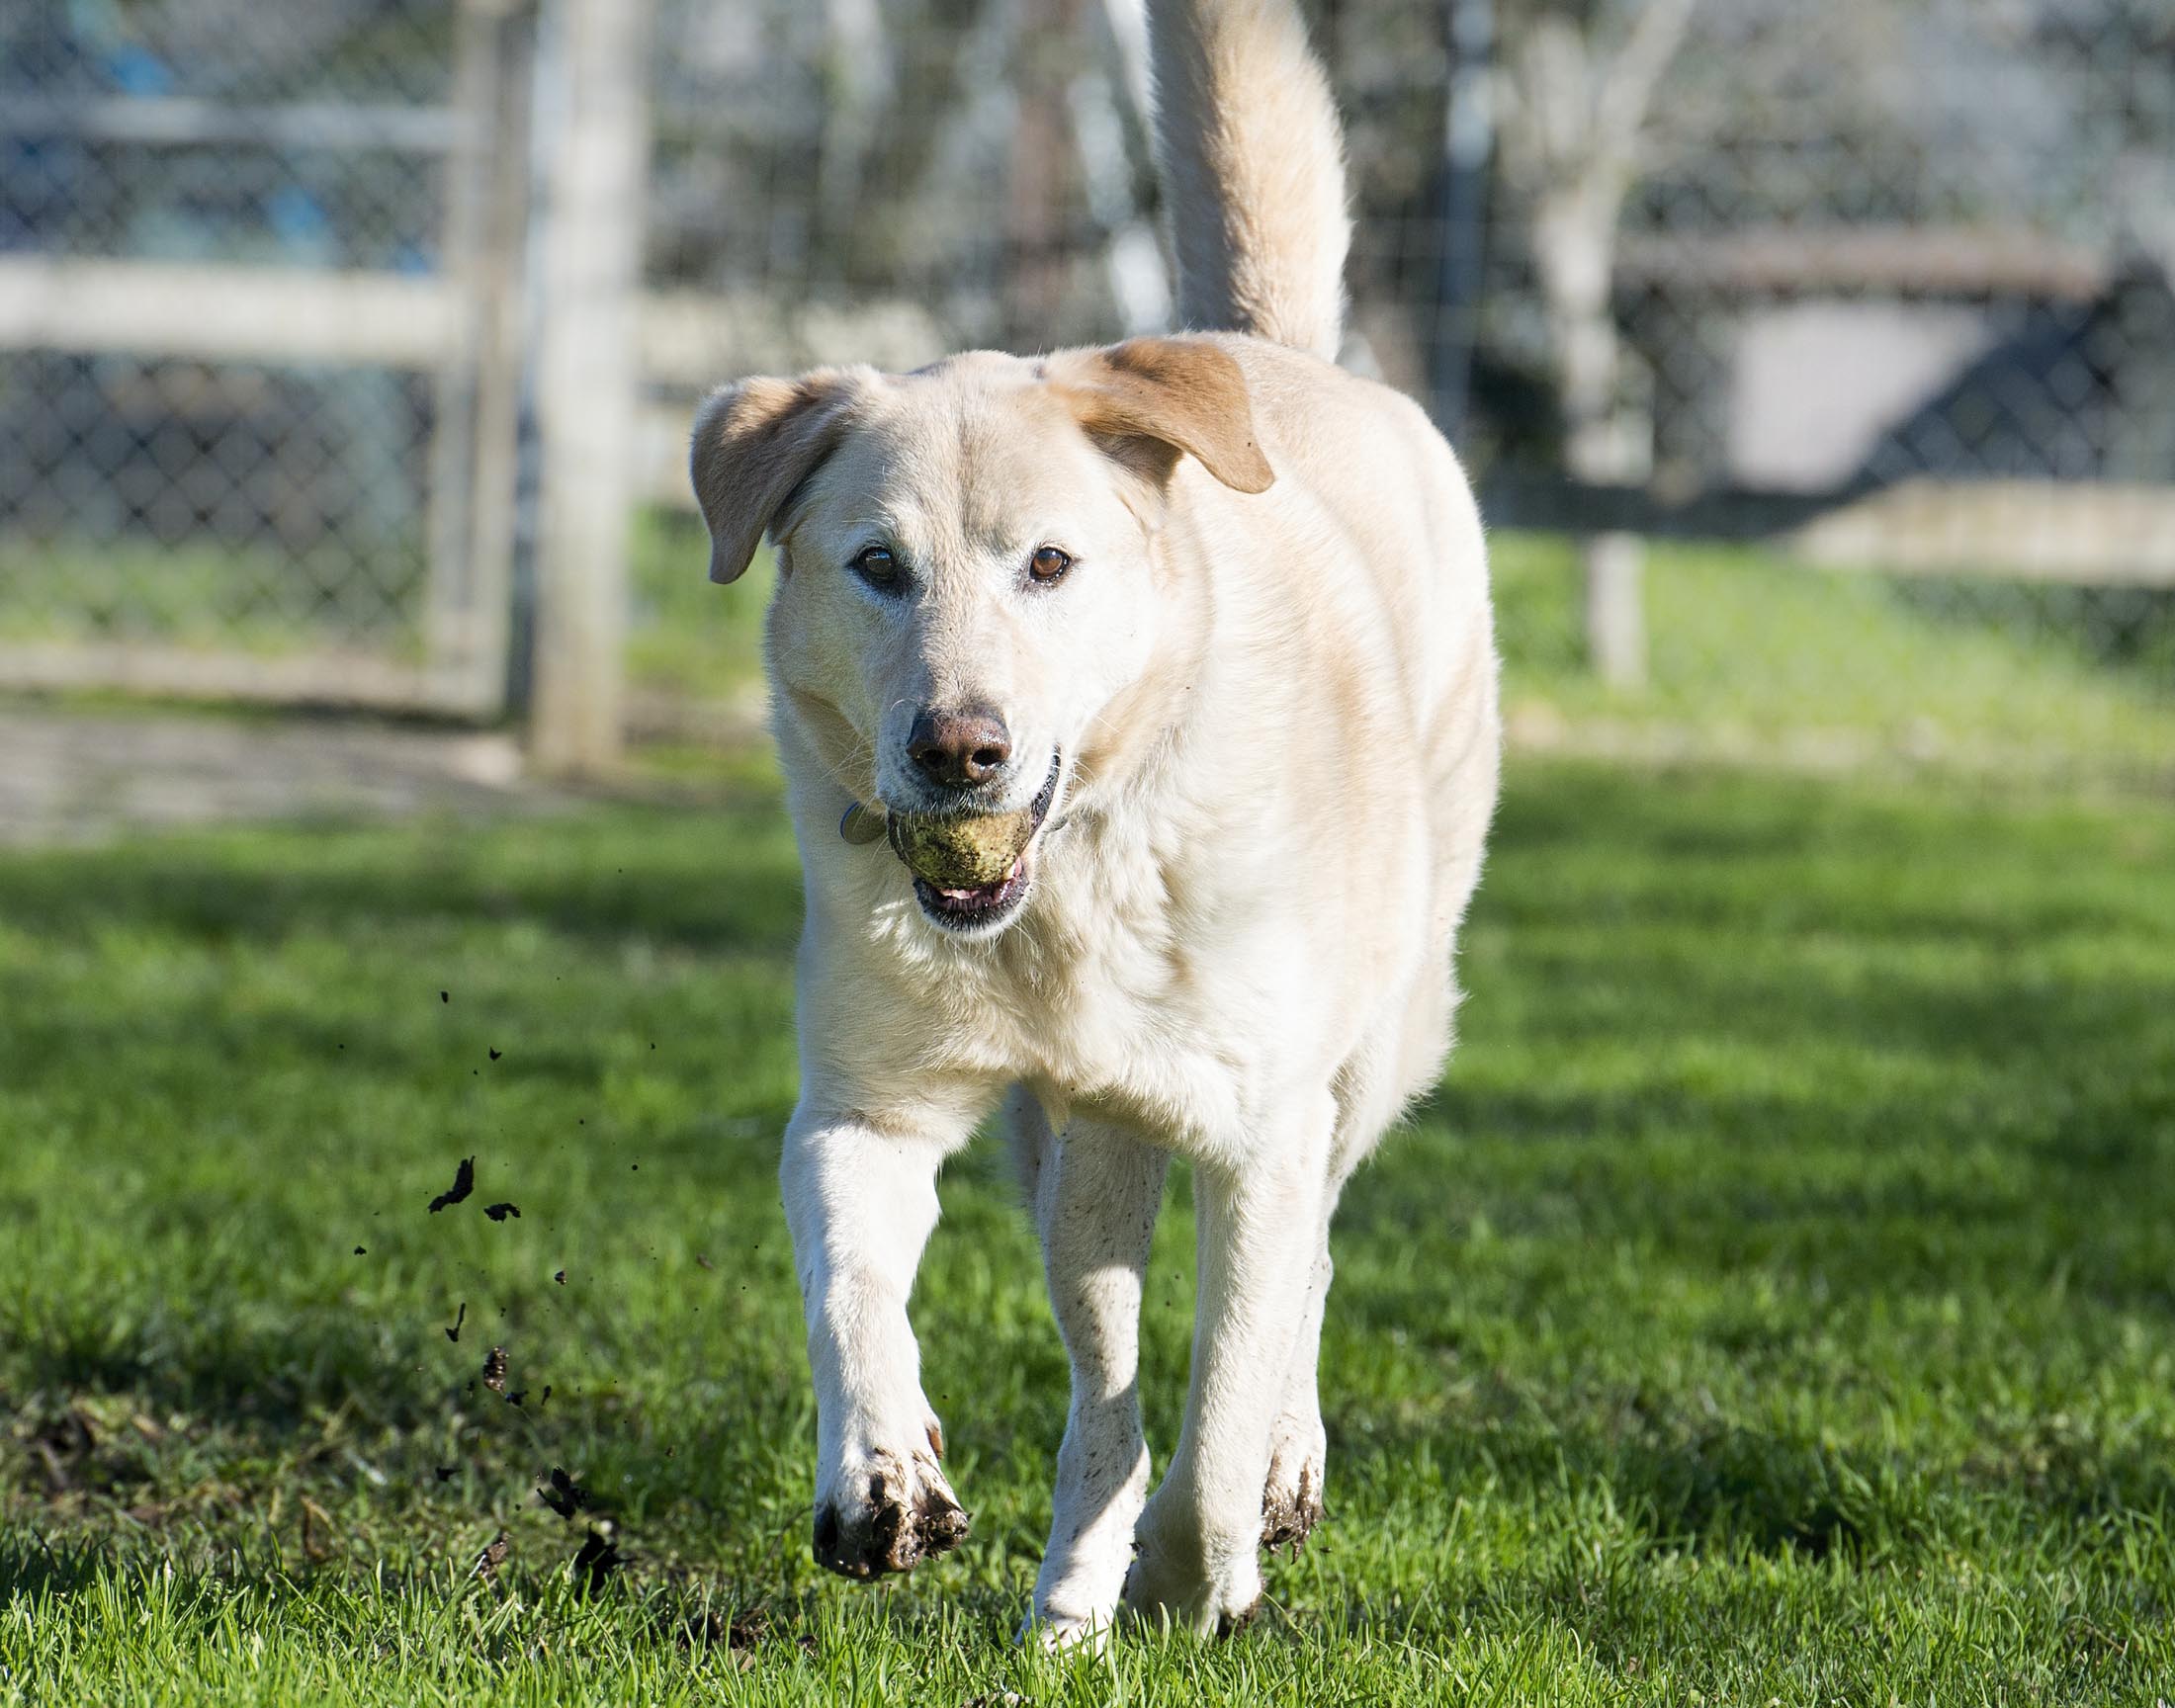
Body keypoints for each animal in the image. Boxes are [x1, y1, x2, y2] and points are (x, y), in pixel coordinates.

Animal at [689, 0, 1499, 1642]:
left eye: (1049, 565)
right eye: (877, 566)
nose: (959, 751)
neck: (1069, 902)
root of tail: (1275, 356)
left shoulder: (1259, 1144)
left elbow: (1228, 1402)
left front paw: (1209, 1573)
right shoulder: (869, 1109)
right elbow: (849, 1295)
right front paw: (881, 1480)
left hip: (1371, 1051)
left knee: (1306, 1281)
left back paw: (1264, 1494)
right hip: (1071, 1158)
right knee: (1104, 1387)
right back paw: (1065, 1601)